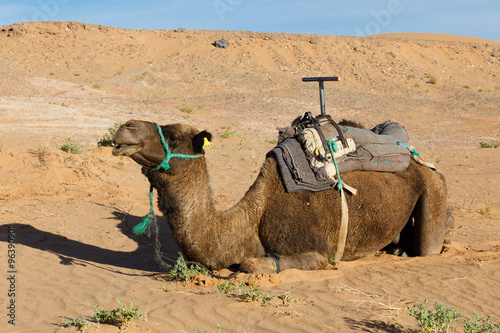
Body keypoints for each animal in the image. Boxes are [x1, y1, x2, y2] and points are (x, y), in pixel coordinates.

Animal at [112, 119, 450, 272]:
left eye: (173, 137)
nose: (125, 127)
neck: (253, 220)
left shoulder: (320, 252)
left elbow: (251, 264)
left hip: (434, 187)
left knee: (429, 246)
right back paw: (396, 248)